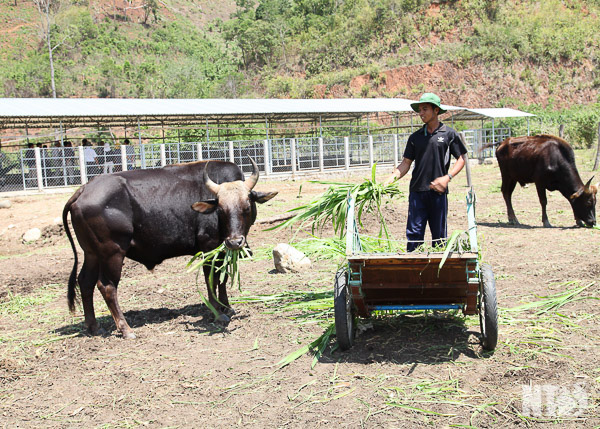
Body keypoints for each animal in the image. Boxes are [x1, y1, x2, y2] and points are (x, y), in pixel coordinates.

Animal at [62, 157, 278, 338]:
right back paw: (126, 329)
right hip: (112, 253)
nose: (235, 241)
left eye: (246, 207)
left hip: (91, 253)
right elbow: (211, 279)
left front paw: (226, 306)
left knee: (85, 282)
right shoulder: (208, 247)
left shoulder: (221, 250)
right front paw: (217, 312)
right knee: (107, 286)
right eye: (221, 209)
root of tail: (83, 190)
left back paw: (94, 327)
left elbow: (221, 278)